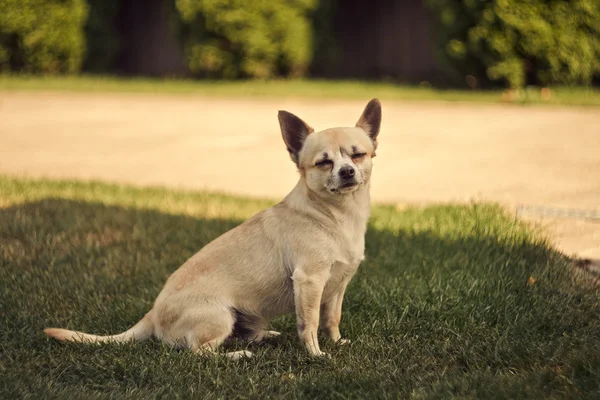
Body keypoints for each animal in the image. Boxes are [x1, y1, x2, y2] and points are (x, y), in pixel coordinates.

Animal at [45, 97, 384, 360]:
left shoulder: (337, 286)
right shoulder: (310, 281)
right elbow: (309, 323)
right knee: (201, 352)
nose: (347, 171)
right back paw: (237, 356)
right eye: (324, 163)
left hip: (241, 318)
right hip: (219, 316)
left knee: (240, 336)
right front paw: (315, 354)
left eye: (358, 155)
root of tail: (153, 314)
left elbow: (331, 318)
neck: (337, 216)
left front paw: (337, 342)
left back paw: (264, 337)